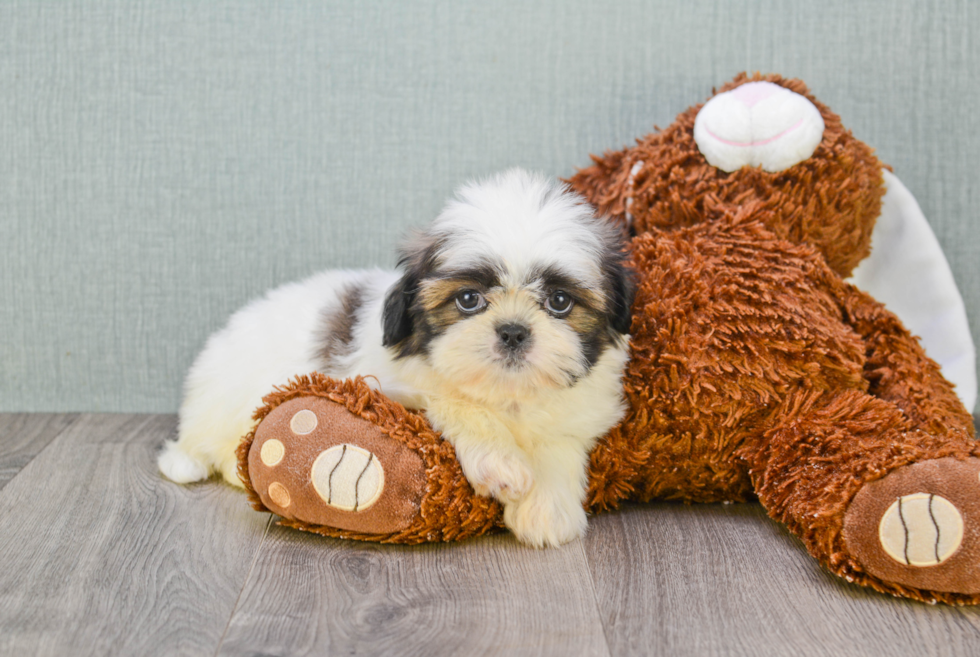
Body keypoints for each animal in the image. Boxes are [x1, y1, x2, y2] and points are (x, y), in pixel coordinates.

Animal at [159, 170, 636, 548]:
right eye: (468, 299)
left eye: (560, 301)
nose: (514, 330)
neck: (507, 395)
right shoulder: (381, 382)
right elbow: (455, 401)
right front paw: (501, 464)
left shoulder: (583, 408)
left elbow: (559, 441)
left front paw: (547, 510)